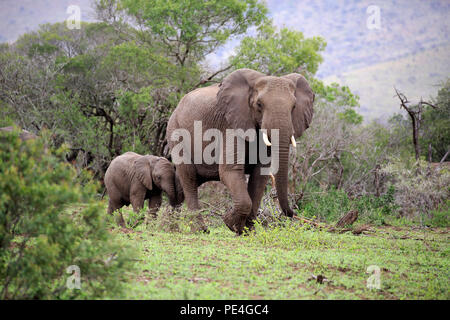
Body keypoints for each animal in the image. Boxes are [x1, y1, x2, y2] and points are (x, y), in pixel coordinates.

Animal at [167, 69, 314, 234]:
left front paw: (247, 231)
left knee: (184, 183)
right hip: (176, 132)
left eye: (294, 106)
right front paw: (230, 223)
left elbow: (259, 176)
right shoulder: (230, 124)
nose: (292, 213)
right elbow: (229, 170)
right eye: (259, 104)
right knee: (189, 178)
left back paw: (168, 226)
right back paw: (200, 231)